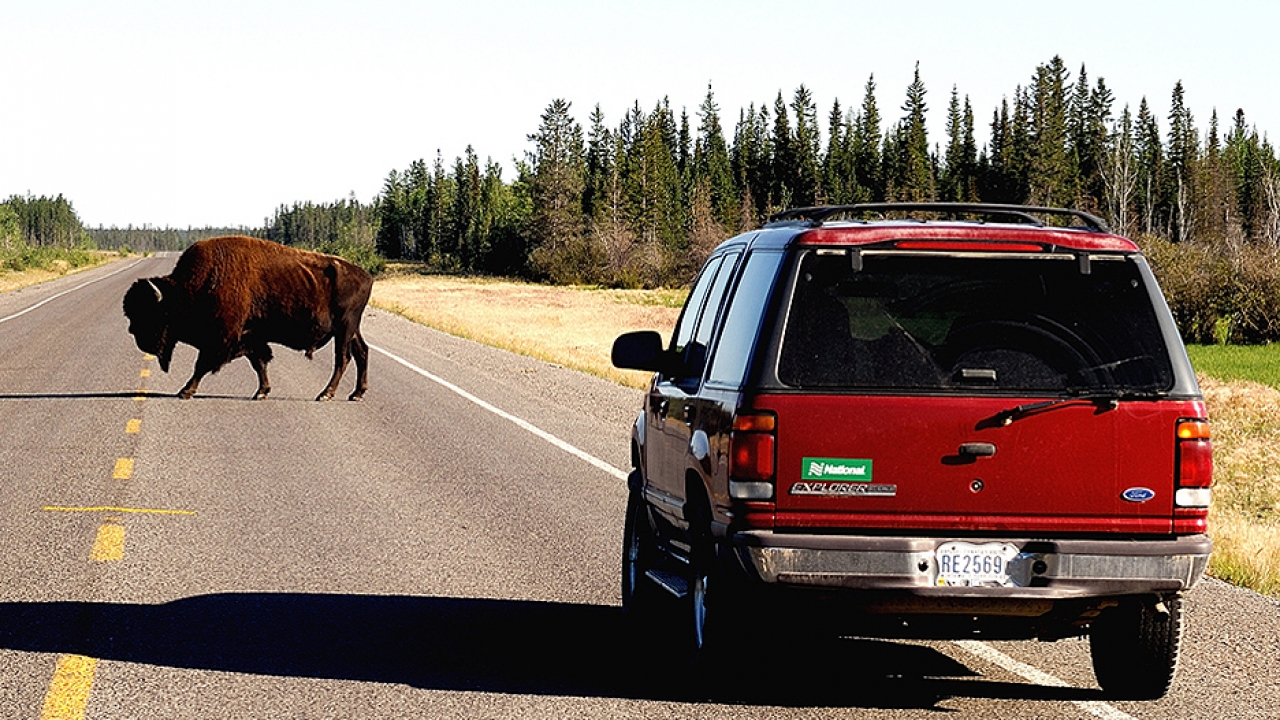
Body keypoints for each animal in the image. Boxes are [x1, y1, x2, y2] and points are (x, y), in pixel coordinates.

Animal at [122, 238, 373, 399]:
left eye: (151, 313)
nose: (133, 334)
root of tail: (366, 275)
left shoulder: (222, 337)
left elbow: (202, 364)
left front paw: (185, 391)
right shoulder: (250, 336)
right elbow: (259, 362)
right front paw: (262, 392)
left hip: (344, 327)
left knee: (343, 358)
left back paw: (326, 394)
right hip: (352, 329)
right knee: (361, 352)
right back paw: (356, 393)